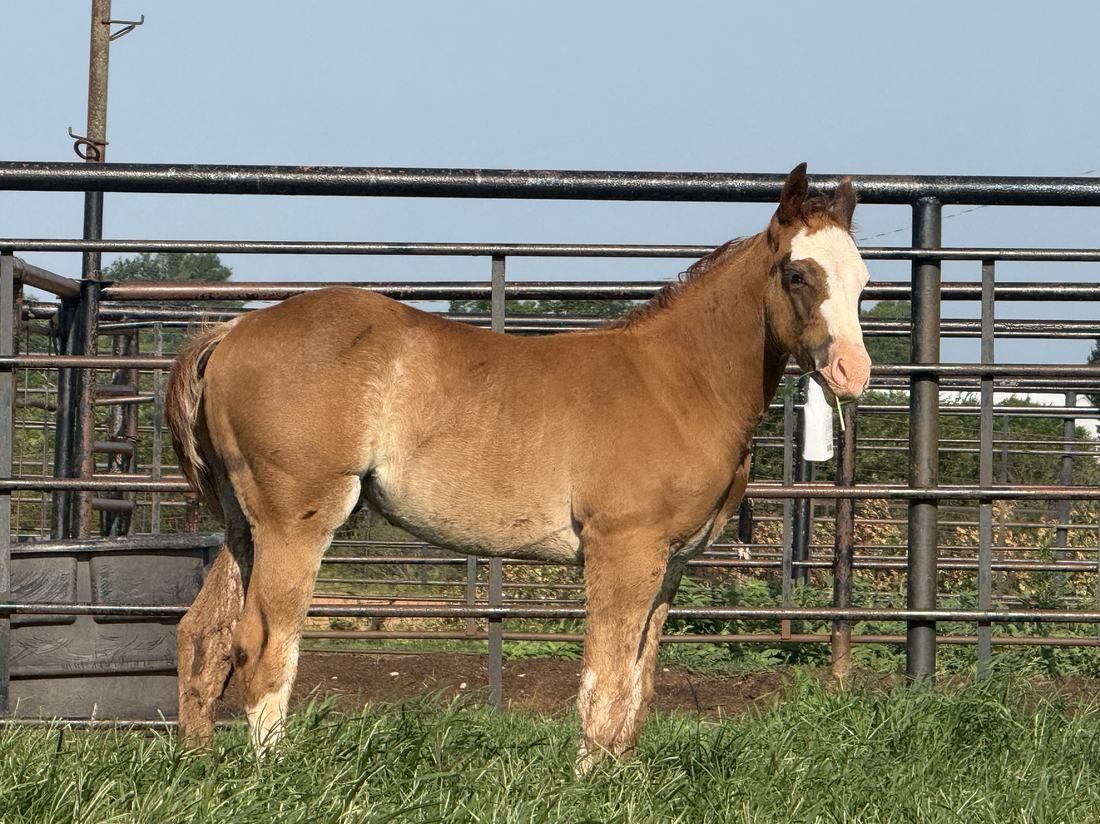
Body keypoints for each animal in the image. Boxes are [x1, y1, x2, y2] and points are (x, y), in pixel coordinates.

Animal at [166, 163, 872, 768]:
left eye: (864, 281)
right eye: (798, 275)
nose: (853, 373)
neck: (677, 382)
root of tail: (231, 332)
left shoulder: (670, 562)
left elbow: (639, 683)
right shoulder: (624, 550)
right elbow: (606, 680)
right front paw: (590, 782)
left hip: (245, 525)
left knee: (203, 636)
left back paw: (202, 766)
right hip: (298, 523)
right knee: (262, 646)